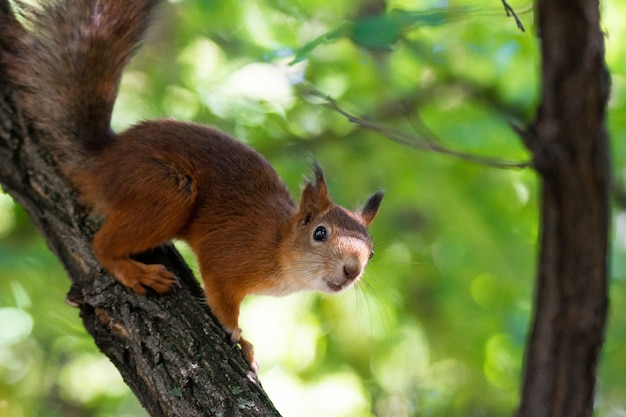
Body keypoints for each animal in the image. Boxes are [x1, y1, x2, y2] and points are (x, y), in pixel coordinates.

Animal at [1, 0, 380, 370]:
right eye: (320, 233)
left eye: (371, 251)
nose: (351, 271)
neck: (278, 245)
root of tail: (102, 158)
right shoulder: (226, 257)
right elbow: (222, 299)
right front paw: (240, 337)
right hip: (166, 189)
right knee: (100, 245)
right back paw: (134, 271)